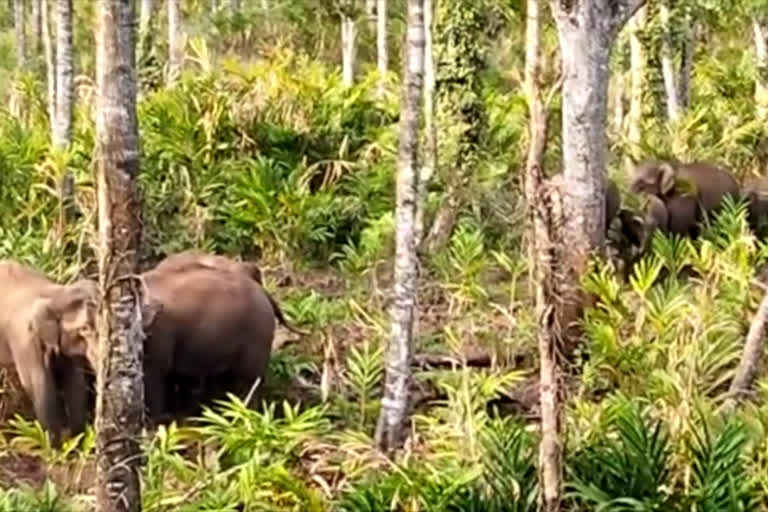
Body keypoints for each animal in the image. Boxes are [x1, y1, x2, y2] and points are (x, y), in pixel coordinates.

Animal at [0, 260, 98, 444]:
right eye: (84, 329)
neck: (57, 294)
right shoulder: (25, 340)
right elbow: (40, 388)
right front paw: (55, 447)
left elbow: (75, 383)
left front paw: (77, 443)